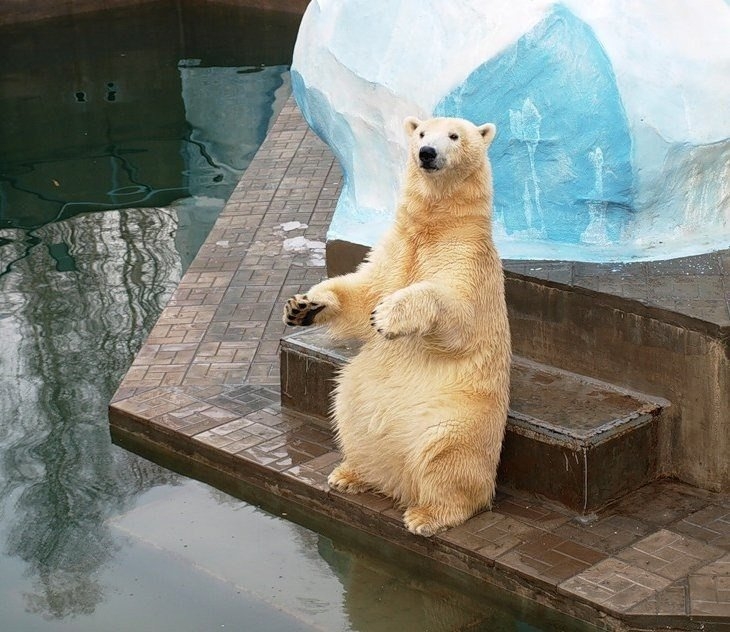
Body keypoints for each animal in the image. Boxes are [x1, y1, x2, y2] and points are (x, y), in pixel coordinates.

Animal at [282, 116, 510, 536]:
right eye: (421, 133)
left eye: (454, 135)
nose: (427, 153)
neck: (435, 227)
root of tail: (403, 485)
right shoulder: (395, 248)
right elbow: (363, 290)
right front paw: (303, 306)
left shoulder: (468, 259)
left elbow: (456, 313)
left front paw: (389, 316)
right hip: (357, 399)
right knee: (345, 411)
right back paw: (351, 474)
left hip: (459, 420)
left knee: (447, 458)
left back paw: (426, 515)